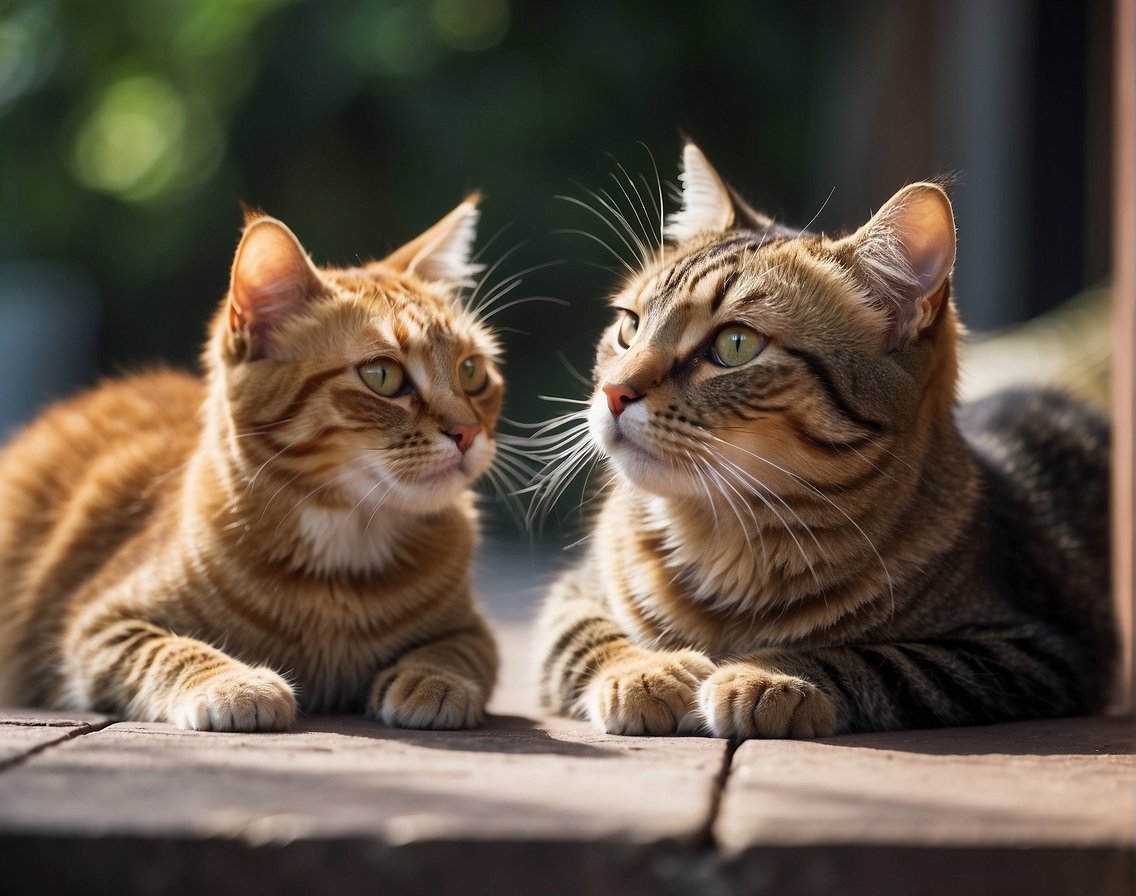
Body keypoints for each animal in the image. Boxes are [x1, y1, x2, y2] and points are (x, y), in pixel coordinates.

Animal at [0, 195, 504, 726]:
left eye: (472, 372)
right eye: (382, 376)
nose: (468, 432)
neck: (344, 553)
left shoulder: (474, 630)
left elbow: (454, 649)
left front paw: (434, 679)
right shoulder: (100, 625)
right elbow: (173, 650)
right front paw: (234, 683)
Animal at [536, 143, 1113, 735]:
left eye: (735, 345)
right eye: (629, 327)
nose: (614, 391)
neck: (724, 539)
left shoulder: (1026, 652)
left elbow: (874, 657)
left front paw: (771, 675)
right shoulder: (573, 594)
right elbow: (591, 637)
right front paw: (646, 670)